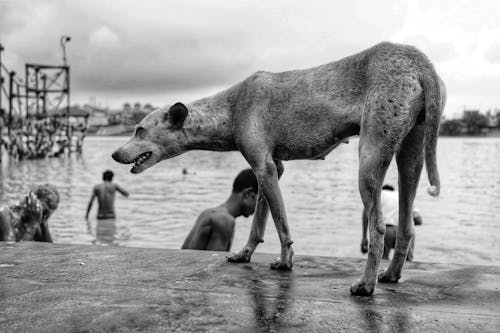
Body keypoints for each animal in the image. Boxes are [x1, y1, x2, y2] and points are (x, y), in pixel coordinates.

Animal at [112, 42, 446, 296]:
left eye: (140, 130)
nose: (115, 154)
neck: (231, 107)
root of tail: (421, 62)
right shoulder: (272, 168)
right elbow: (259, 221)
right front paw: (244, 254)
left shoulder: (264, 166)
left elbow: (280, 223)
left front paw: (285, 261)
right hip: (410, 154)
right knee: (406, 225)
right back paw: (390, 275)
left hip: (370, 156)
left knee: (377, 227)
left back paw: (365, 285)